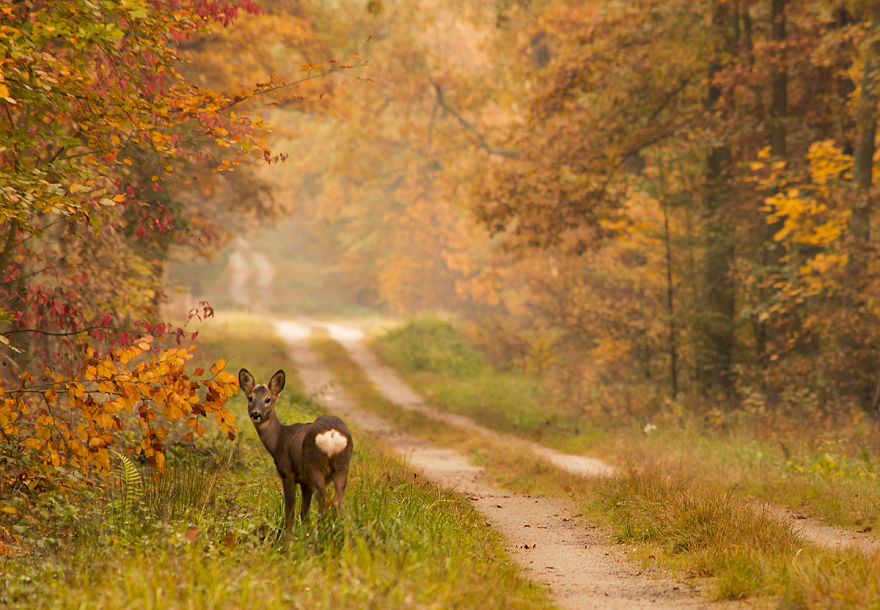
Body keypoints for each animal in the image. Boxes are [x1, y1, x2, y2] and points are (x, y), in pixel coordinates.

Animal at [241, 366, 354, 528]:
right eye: (250, 398)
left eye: (268, 399)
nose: (256, 414)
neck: (278, 439)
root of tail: (332, 434)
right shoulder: (305, 482)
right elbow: (304, 513)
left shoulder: (287, 472)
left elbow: (290, 511)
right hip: (342, 466)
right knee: (338, 503)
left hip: (314, 465)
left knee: (325, 502)